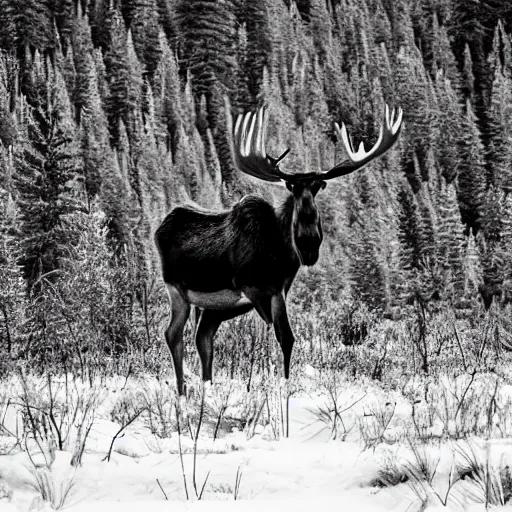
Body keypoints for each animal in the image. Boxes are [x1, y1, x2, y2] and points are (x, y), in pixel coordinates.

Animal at [156, 103, 404, 392]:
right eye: (293, 187)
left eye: (318, 186)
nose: (309, 240)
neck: (281, 254)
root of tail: (160, 228)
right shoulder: (256, 289)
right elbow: (277, 334)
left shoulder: (279, 289)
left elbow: (287, 338)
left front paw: (285, 383)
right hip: (177, 290)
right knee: (173, 334)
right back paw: (182, 390)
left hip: (214, 306)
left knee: (202, 337)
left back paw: (207, 386)